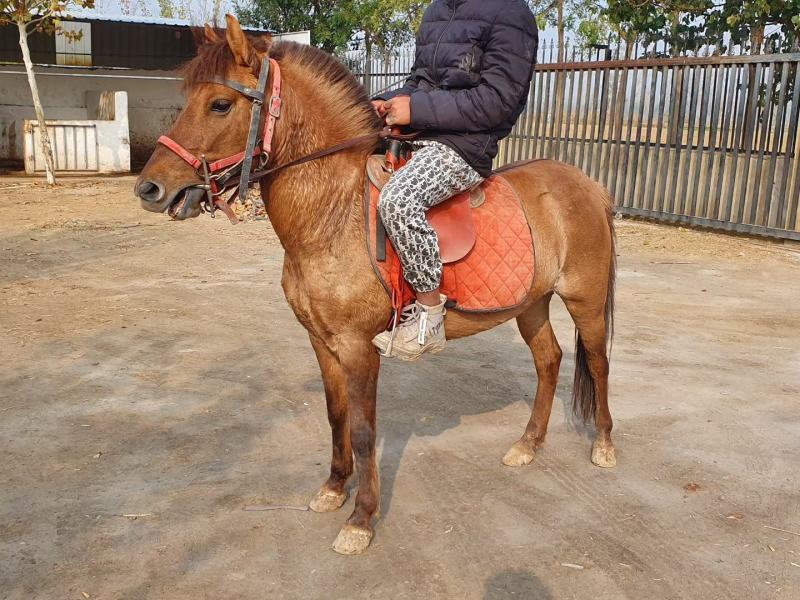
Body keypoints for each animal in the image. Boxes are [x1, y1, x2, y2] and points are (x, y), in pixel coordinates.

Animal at [135, 15, 617, 555]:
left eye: (220, 104)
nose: (149, 188)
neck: (332, 213)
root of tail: (590, 186)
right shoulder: (321, 341)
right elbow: (336, 415)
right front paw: (332, 488)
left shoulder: (357, 346)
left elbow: (365, 431)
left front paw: (361, 520)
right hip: (531, 303)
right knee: (549, 361)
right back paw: (527, 445)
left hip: (585, 300)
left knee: (597, 363)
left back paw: (603, 445)